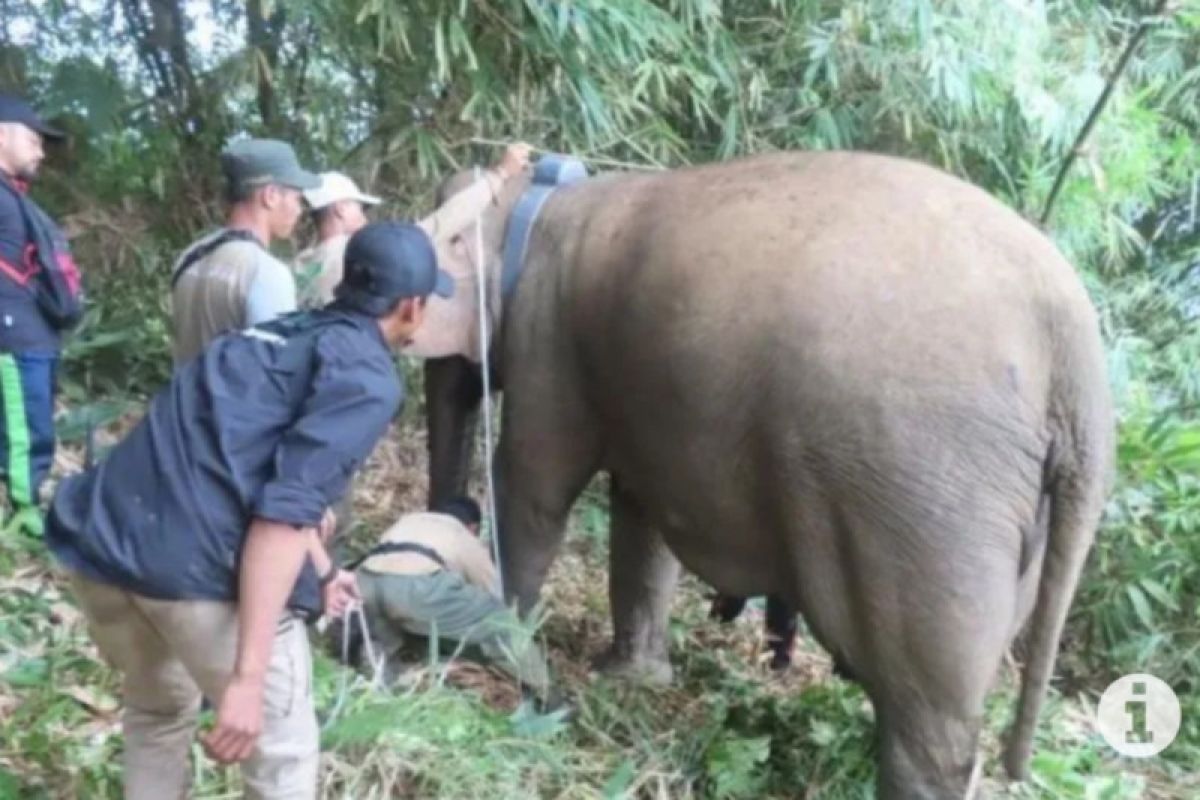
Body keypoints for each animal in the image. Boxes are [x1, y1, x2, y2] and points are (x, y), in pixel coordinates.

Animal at [422, 151, 1113, 800]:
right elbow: (641, 517)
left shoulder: (551, 343)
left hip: (934, 504)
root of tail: (1077, 358)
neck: (545, 198)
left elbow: (534, 489)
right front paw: (631, 678)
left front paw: (500, 645)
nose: (445, 520)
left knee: (929, 710)